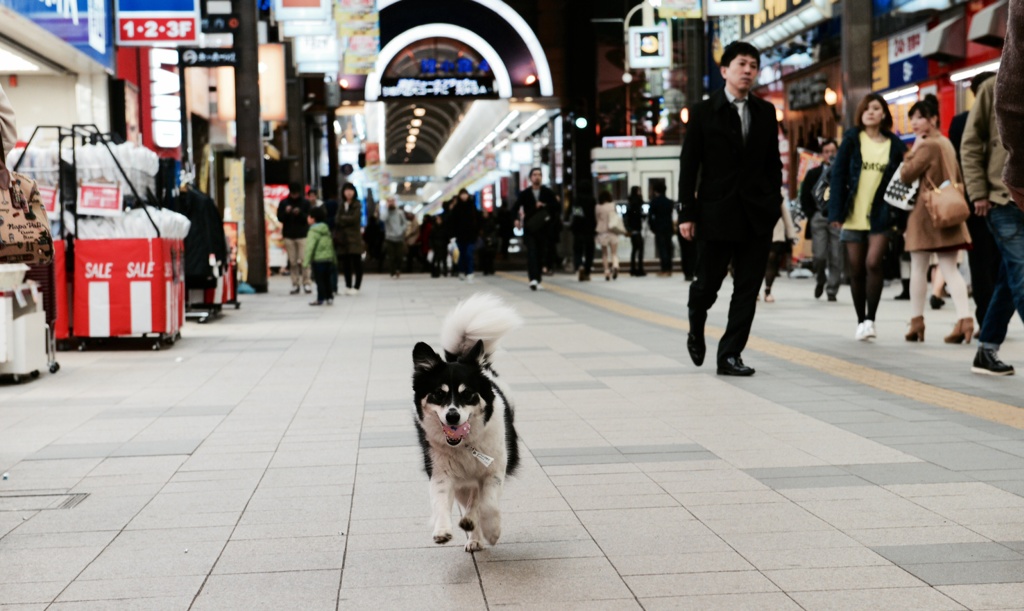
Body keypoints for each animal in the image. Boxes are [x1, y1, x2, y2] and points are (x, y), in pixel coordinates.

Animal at [409, 292, 520, 548]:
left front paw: (493, 531)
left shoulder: (494, 471)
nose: (453, 415)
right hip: (460, 483)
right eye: (438, 394)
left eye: (467, 393)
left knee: (477, 499)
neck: (465, 444)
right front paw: (442, 530)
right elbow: (441, 501)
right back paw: (473, 536)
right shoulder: (441, 473)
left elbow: (487, 502)